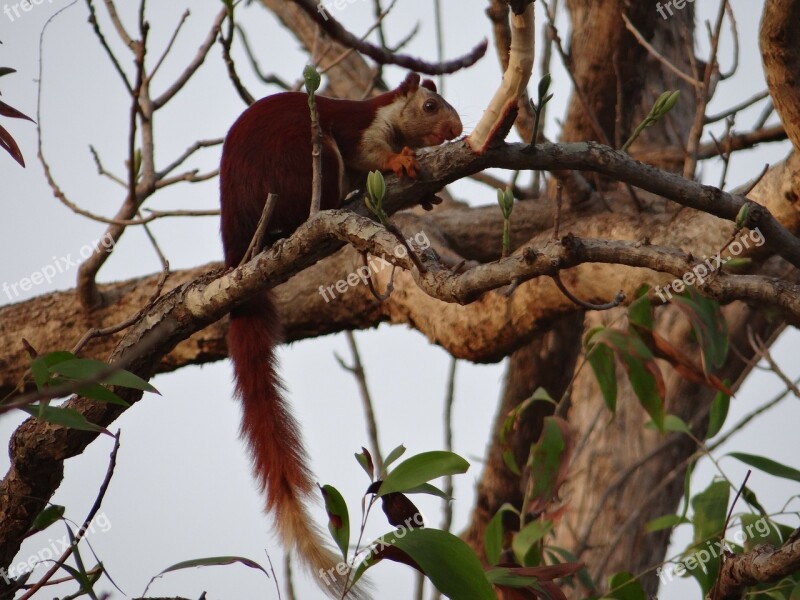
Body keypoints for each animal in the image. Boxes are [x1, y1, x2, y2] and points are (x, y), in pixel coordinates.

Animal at [219, 71, 460, 596]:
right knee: (319, 191)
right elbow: (369, 156)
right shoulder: (358, 132)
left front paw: (428, 195)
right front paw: (400, 160)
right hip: (305, 159)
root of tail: (237, 240)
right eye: (430, 106)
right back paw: (332, 206)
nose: (455, 129)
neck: (389, 115)